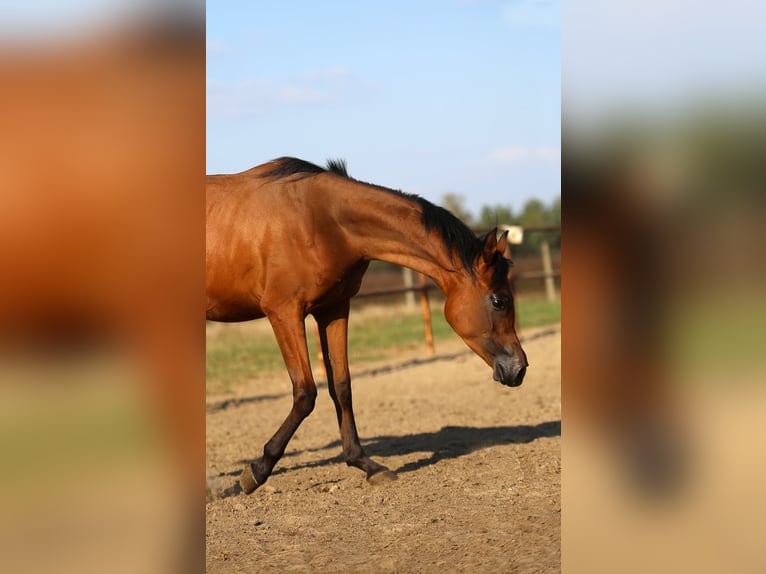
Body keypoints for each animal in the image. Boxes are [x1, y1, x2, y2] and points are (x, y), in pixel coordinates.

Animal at [206, 159, 528, 496]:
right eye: (499, 301)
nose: (519, 369)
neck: (320, 220)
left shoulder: (333, 309)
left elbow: (342, 387)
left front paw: (365, 464)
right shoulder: (283, 312)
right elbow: (305, 392)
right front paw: (256, 471)